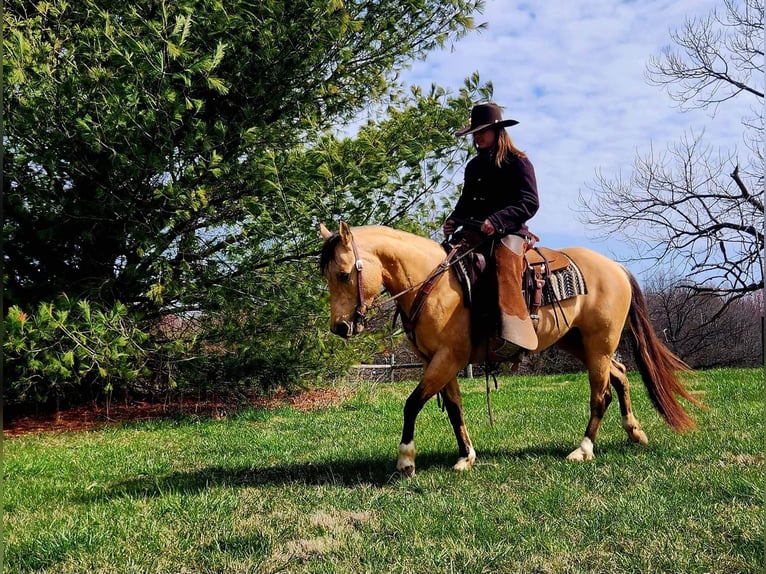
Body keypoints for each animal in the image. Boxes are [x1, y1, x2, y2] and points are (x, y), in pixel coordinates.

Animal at [318, 220, 704, 476]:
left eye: (343, 274)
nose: (340, 327)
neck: (434, 284)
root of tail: (616, 267)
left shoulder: (447, 358)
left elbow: (412, 404)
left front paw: (406, 459)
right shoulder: (439, 361)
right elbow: (455, 410)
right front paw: (466, 456)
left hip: (599, 344)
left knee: (601, 395)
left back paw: (583, 450)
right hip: (580, 343)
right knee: (620, 375)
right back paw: (634, 432)